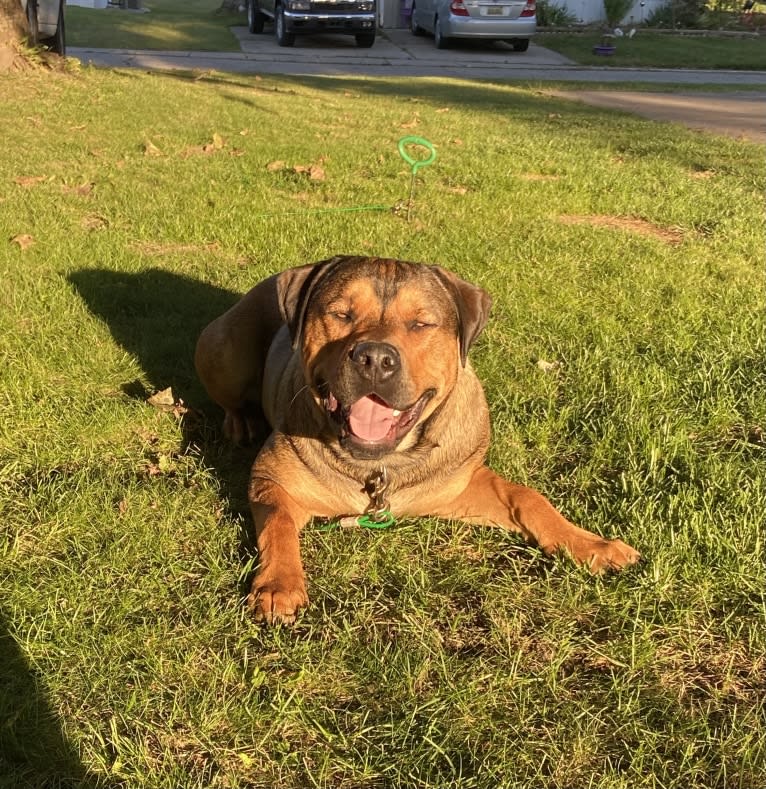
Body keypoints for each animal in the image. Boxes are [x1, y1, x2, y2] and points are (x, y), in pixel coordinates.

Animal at [195, 255, 640, 624]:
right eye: (340, 313)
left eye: (421, 324)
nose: (375, 358)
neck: (380, 463)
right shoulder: (272, 480)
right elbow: (278, 523)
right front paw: (279, 586)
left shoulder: (460, 485)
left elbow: (528, 497)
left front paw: (591, 545)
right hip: (223, 350)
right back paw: (240, 422)